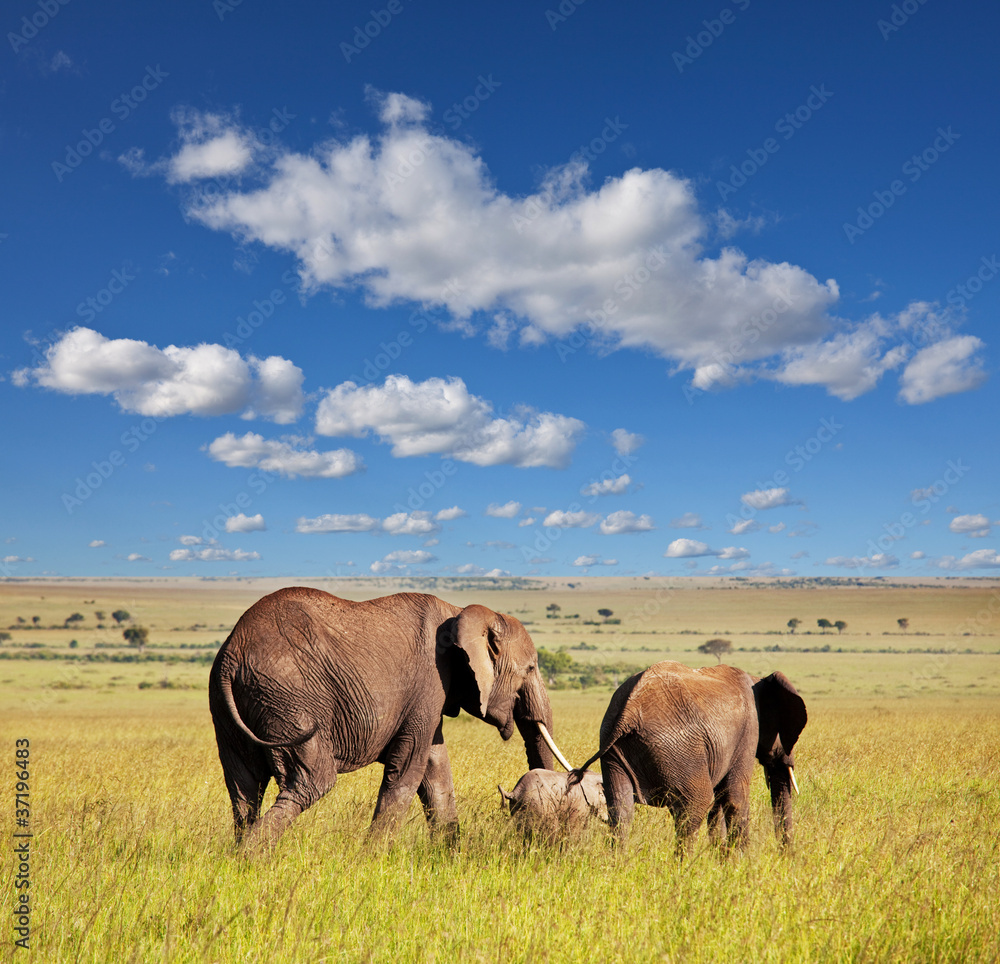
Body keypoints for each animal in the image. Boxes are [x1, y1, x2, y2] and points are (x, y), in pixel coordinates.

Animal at [208, 587, 571, 850]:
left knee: (244, 788)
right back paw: (252, 857)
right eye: (531, 668)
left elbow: (435, 767)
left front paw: (450, 856)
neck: (459, 612)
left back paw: (238, 855)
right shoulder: (429, 680)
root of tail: (232, 654)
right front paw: (370, 859)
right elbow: (410, 768)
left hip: (233, 706)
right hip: (289, 700)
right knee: (311, 780)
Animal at [575, 660, 807, 854]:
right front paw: (742, 863)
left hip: (615, 751)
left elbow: (719, 804)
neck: (757, 680)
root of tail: (628, 713)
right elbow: (734, 798)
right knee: (696, 805)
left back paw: (618, 865)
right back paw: (684, 870)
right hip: (677, 750)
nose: (786, 857)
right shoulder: (748, 731)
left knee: (621, 811)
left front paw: (722, 860)